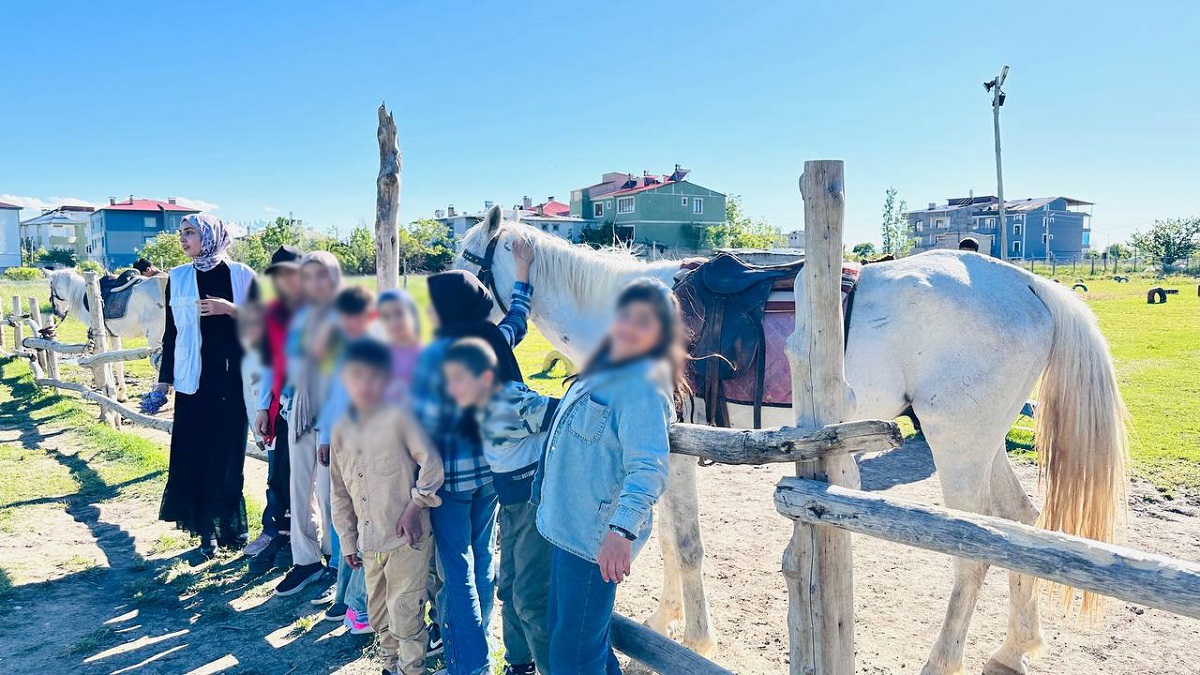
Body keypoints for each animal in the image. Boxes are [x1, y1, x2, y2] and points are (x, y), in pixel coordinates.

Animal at [45, 265, 168, 396]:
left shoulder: (102, 336)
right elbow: (117, 362)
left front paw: (109, 389)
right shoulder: (114, 335)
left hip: (155, 338)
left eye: (50, 285)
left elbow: (105, 361)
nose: (57, 312)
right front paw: (121, 393)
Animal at [456, 205, 1123, 672]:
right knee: (1018, 525)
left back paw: (943, 662)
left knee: (973, 549)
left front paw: (698, 639)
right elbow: (667, 539)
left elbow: (687, 545)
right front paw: (664, 618)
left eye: (465, 257)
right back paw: (1015, 646)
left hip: (958, 446)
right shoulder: (666, 452)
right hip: (982, 445)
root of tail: (1030, 287)